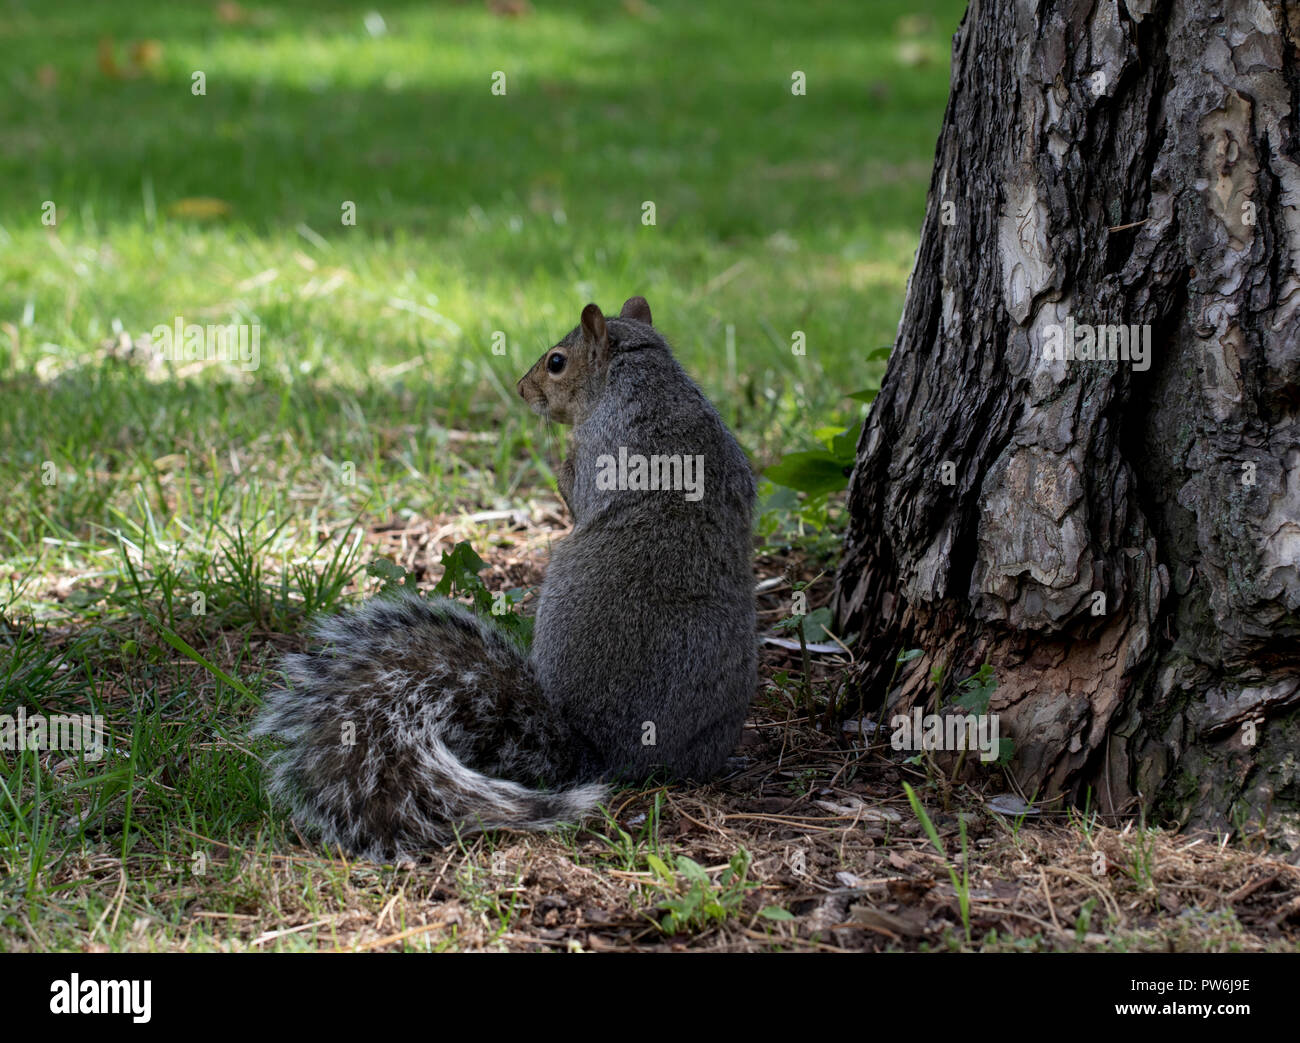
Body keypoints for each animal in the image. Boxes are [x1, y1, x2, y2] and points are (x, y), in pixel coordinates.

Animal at [253, 296, 759, 858]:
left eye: (556, 362)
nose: (521, 389)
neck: (643, 375)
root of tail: (599, 752)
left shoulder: (604, 446)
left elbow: (579, 487)